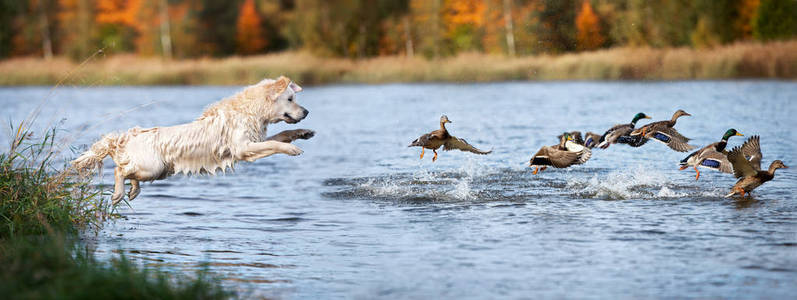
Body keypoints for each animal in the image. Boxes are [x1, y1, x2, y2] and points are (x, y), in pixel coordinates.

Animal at [71, 76, 312, 205]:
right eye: (290, 99)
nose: (307, 111)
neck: (250, 111)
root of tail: (126, 136)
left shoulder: (254, 141)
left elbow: (281, 136)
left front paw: (303, 133)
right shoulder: (243, 149)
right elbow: (274, 144)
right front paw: (293, 151)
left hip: (157, 170)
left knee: (127, 171)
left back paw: (133, 191)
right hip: (153, 167)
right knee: (119, 170)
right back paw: (119, 193)